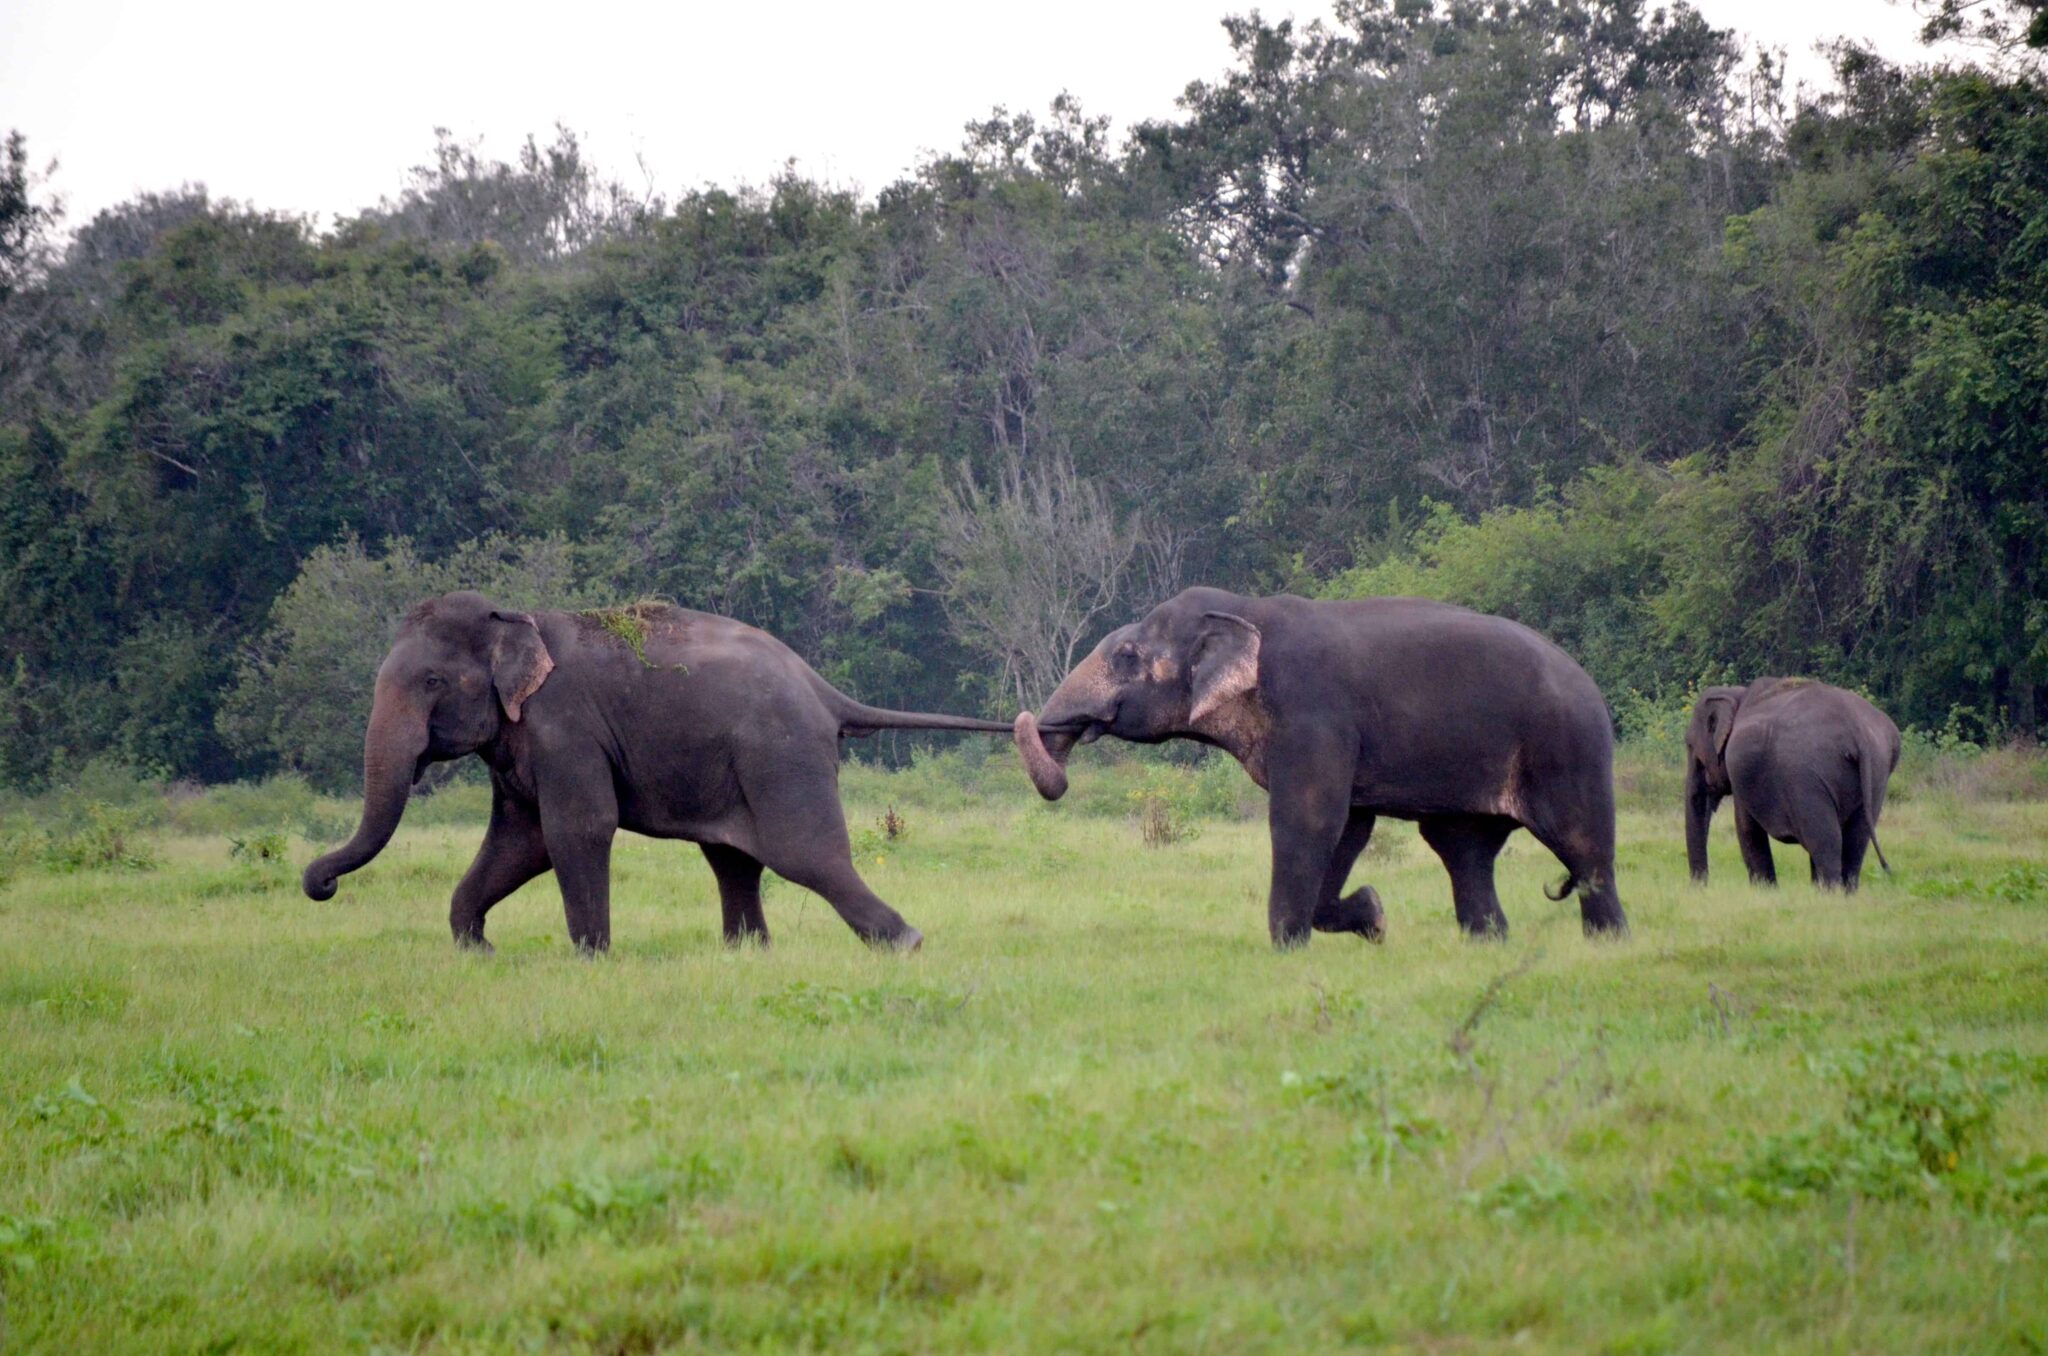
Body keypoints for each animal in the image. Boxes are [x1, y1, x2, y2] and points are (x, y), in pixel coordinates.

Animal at [301, 594, 1024, 954]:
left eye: (431, 681)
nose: (321, 885)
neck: (517, 617)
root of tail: (821, 689)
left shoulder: (565, 728)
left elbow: (577, 830)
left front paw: (591, 959)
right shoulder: (519, 743)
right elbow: (519, 842)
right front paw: (475, 948)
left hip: (780, 753)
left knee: (803, 854)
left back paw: (906, 944)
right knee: (734, 858)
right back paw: (746, 954)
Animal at [1011, 589, 1630, 950]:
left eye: (1127, 656)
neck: (1245, 610)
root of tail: (1589, 681)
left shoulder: (1314, 711)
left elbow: (1309, 817)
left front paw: (1290, 947)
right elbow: (1348, 826)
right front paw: (1373, 916)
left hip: (1567, 746)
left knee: (1582, 844)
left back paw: (1608, 944)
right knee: (1463, 850)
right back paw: (1489, 945)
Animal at [1679, 680, 1900, 893]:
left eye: (1689, 745)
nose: (1699, 888)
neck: (1738, 693)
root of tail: (1857, 732)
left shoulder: (1740, 771)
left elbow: (1747, 829)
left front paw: (1766, 893)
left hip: (1807, 778)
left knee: (1825, 839)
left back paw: (1829, 894)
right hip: (1876, 774)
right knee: (1855, 841)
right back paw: (1842, 894)